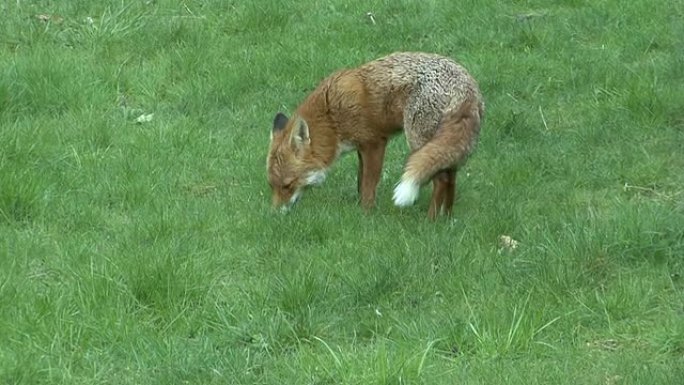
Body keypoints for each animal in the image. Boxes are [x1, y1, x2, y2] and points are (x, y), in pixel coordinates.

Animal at [264, 51, 484, 219]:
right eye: (272, 185)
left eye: (287, 185)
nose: (274, 215)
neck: (331, 116)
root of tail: (467, 87)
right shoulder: (360, 147)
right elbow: (360, 182)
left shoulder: (374, 143)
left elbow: (369, 185)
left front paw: (365, 214)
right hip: (442, 144)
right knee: (451, 174)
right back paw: (447, 217)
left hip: (418, 140)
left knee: (442, 179)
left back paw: (431, 220)